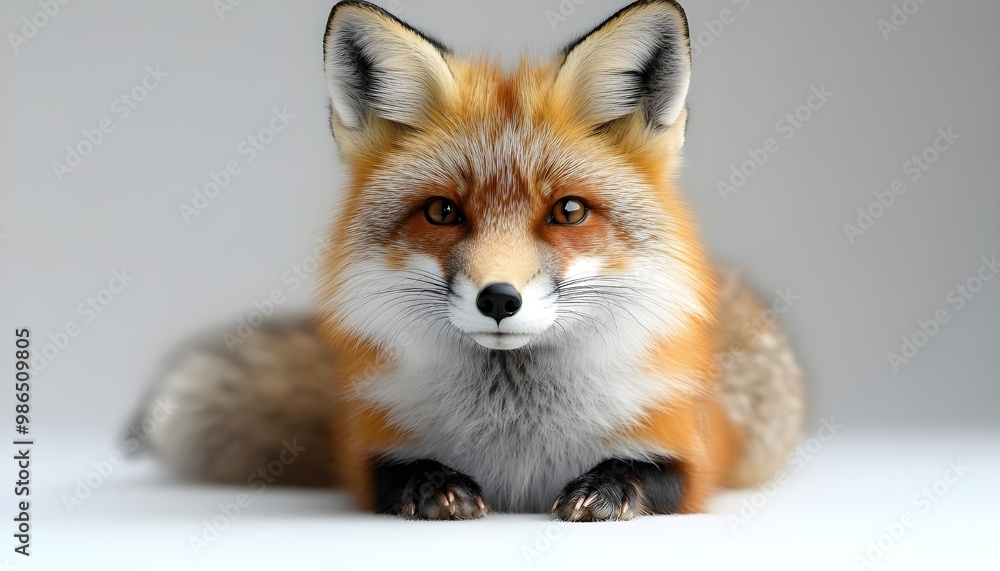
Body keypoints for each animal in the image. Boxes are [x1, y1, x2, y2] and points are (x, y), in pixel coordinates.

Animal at [143, 0, 804, 521]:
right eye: (441, 212)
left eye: (568, 211)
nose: (499, 299)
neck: (515, 443)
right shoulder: (366, 453)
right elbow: (400, 473)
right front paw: (437, 486)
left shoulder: (691, 453)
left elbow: (644, 472)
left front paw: (604, 488)